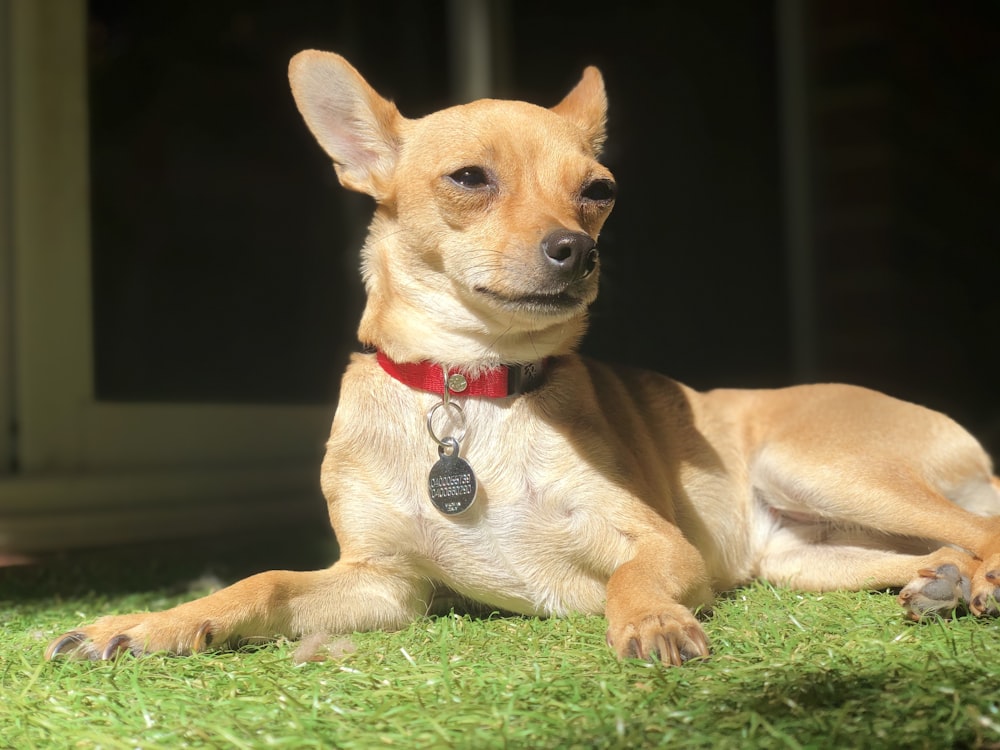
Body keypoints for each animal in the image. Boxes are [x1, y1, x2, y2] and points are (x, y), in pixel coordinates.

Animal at [45, 53, 1000, 668]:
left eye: (599, 191)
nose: (577, 249)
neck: (471, 388)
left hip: (821, 466)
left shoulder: (659, 543)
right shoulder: (384, 586)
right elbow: (265, 580)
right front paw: (155, 623)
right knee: (940, 546)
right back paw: (947, 584)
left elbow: (632, 582)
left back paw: (976, 582)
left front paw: (649, 623)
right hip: (813, 555)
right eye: (469, 178)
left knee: (983, 528)